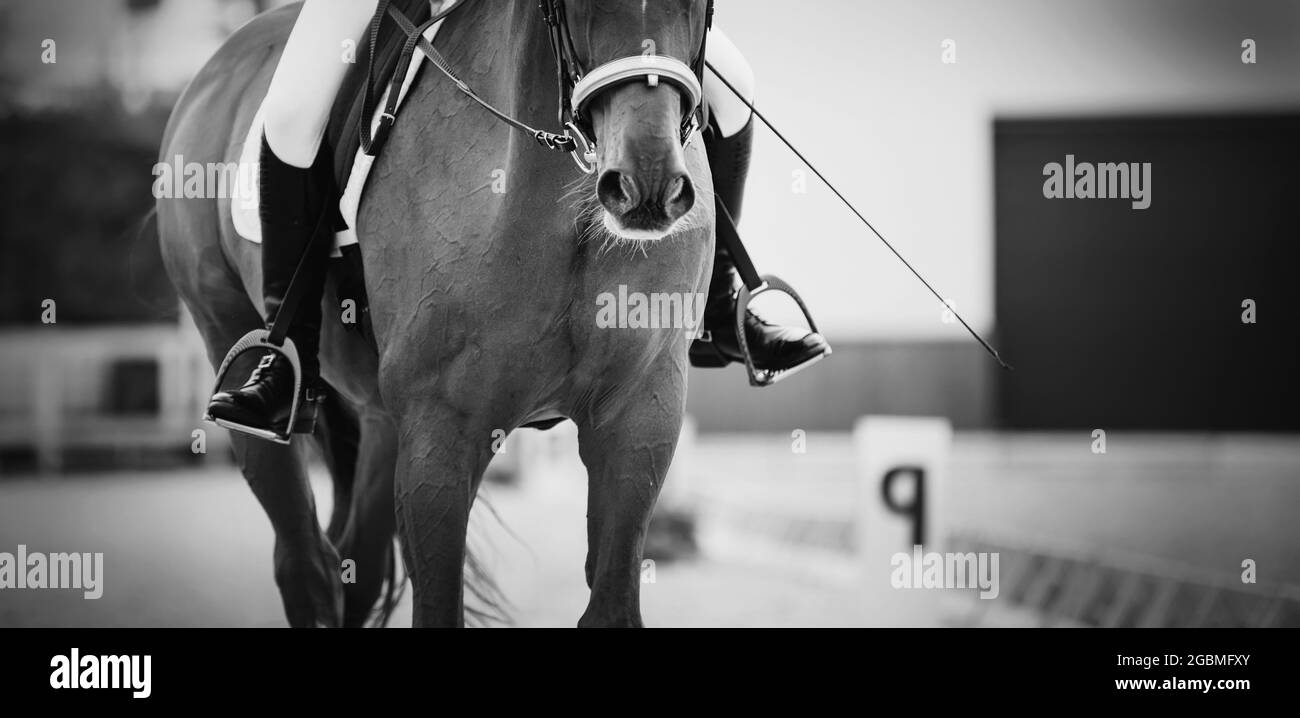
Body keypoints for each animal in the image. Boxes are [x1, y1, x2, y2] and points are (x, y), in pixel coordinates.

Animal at [157, 0, 717, 629]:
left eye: (700, 7)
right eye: (577, 8)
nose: (647, 184)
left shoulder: (640, 413)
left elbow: (613, 605)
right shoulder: (441, 427)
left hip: (382, 420)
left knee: (353, 567)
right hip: (224, 330)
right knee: (304, 568)